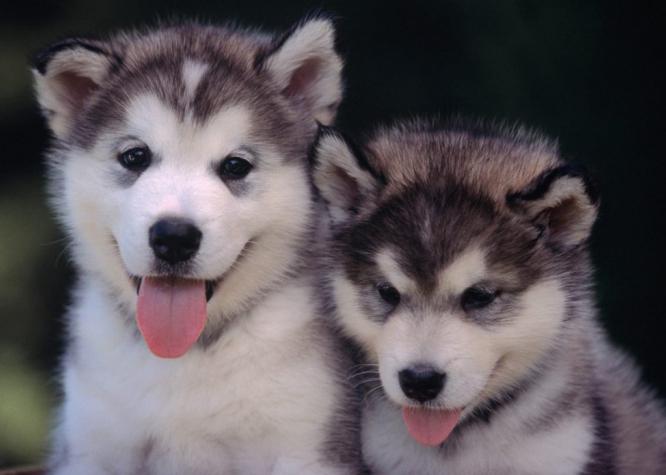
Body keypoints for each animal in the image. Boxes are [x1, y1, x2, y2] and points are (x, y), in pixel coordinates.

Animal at [32, 18, 364, 475]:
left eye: (236, 166)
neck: (184, 356)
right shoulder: (90, 445)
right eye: (135, 157)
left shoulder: (309, 443)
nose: (174, 237)